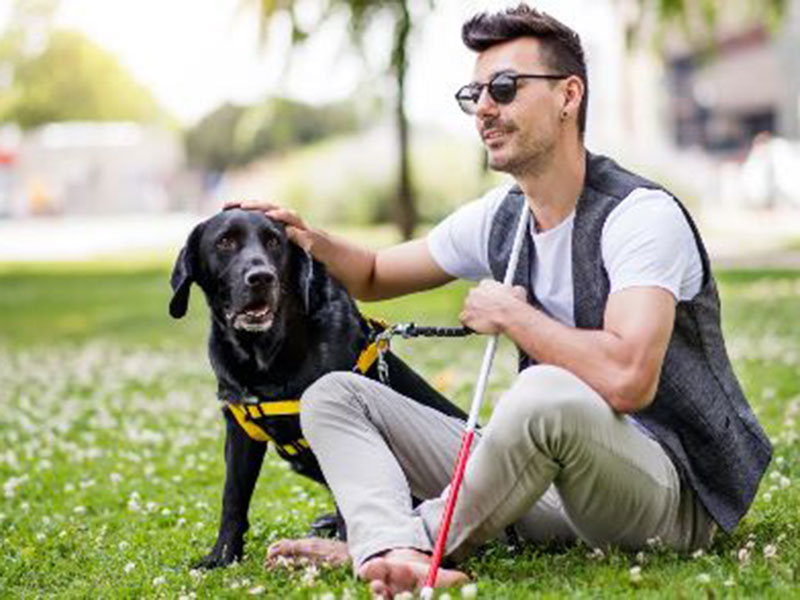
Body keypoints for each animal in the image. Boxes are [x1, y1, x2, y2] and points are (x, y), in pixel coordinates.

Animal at [170, 210, 468, 568]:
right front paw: (222, 557)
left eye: (274, 241)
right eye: (225, 241)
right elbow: (233, 498)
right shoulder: (240, 430)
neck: (265, 354)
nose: (261, 277)